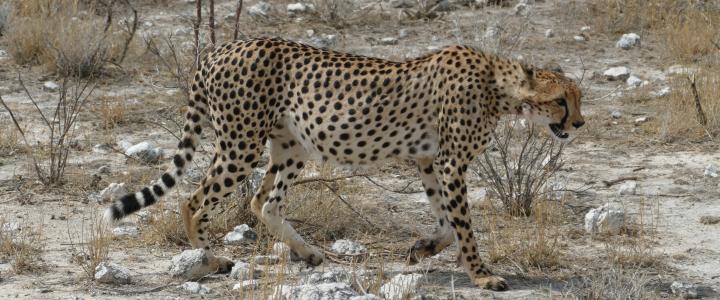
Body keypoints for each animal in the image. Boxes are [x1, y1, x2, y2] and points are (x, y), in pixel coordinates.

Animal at [104, 37, 584, 290]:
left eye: (577, 99)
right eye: (561, 100)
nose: (579, 123)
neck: (498, 85)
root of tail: (220, 48)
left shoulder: (430, 162)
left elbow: (448, 222)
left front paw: (423, 248)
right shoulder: (449, 163)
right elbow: (464, 227)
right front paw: (483, 277)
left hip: (291, 145)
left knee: (264, 202)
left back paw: (307, 253)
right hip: (241, 144)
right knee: (195, 201)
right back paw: (209, 260)